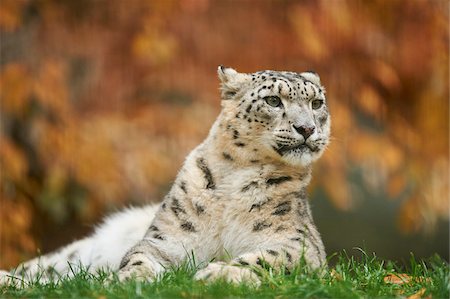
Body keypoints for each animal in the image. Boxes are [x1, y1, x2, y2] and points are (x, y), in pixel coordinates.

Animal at [0, 67, 330, 288]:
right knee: (45, 268)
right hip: (76, 252)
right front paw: (131, 279)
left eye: (316, 104)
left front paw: (218, 274)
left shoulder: (299, 244)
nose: (307, 128)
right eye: (273, 100)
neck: (237, 176)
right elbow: (140, 256)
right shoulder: (167, 238)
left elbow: (268, 258)